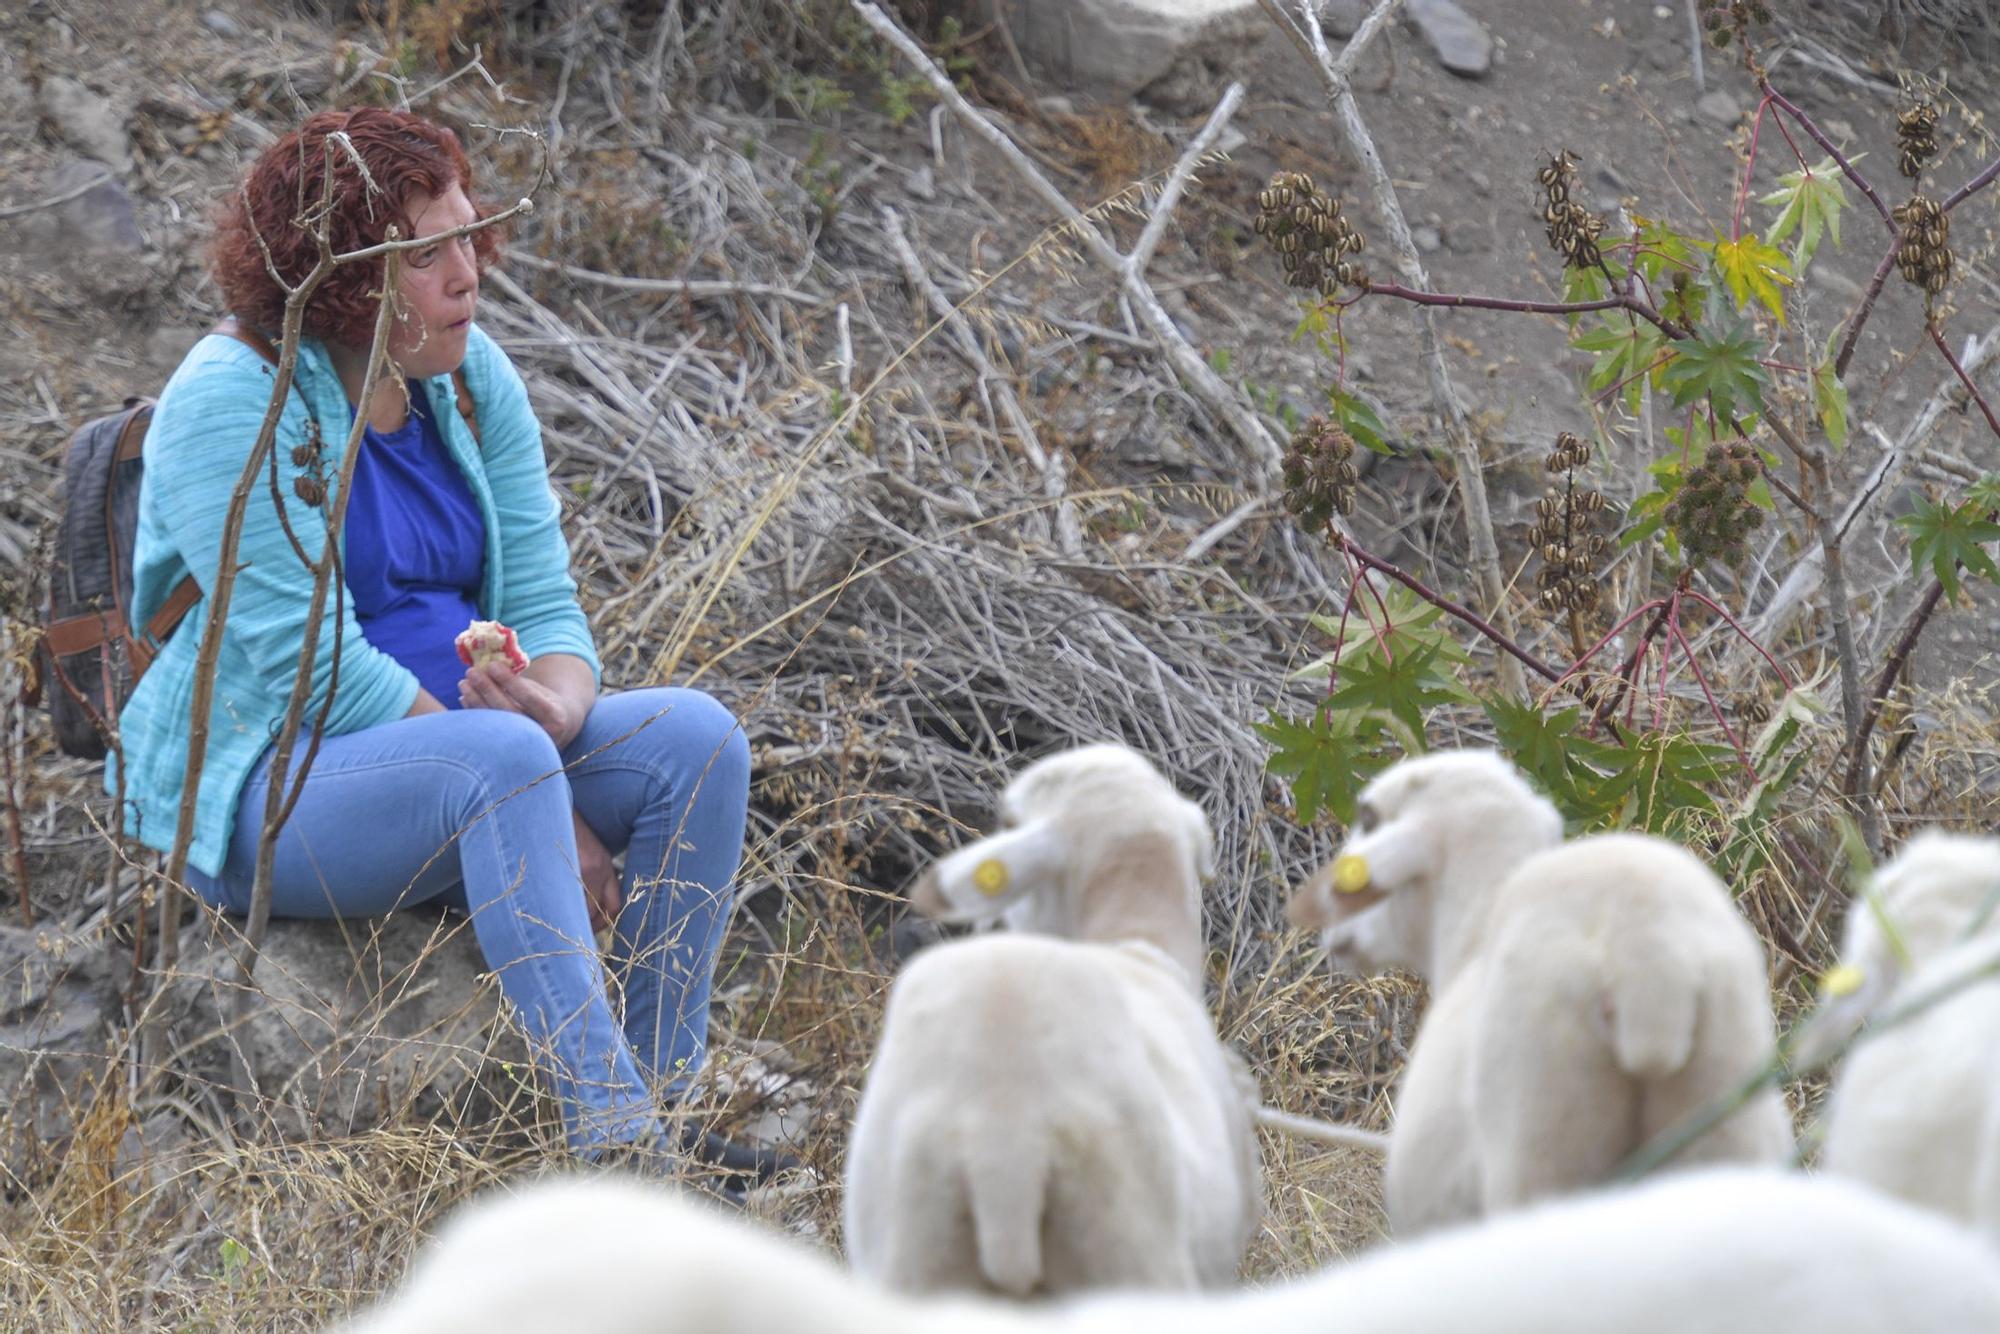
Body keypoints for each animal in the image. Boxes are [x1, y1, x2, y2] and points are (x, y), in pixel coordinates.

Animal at [1288, 748, 1792, 1240]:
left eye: (1370, 820)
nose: (1332, 935)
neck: (1472, 928)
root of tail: (1647, 952)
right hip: (1725, 1116)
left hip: (1541, 1141)